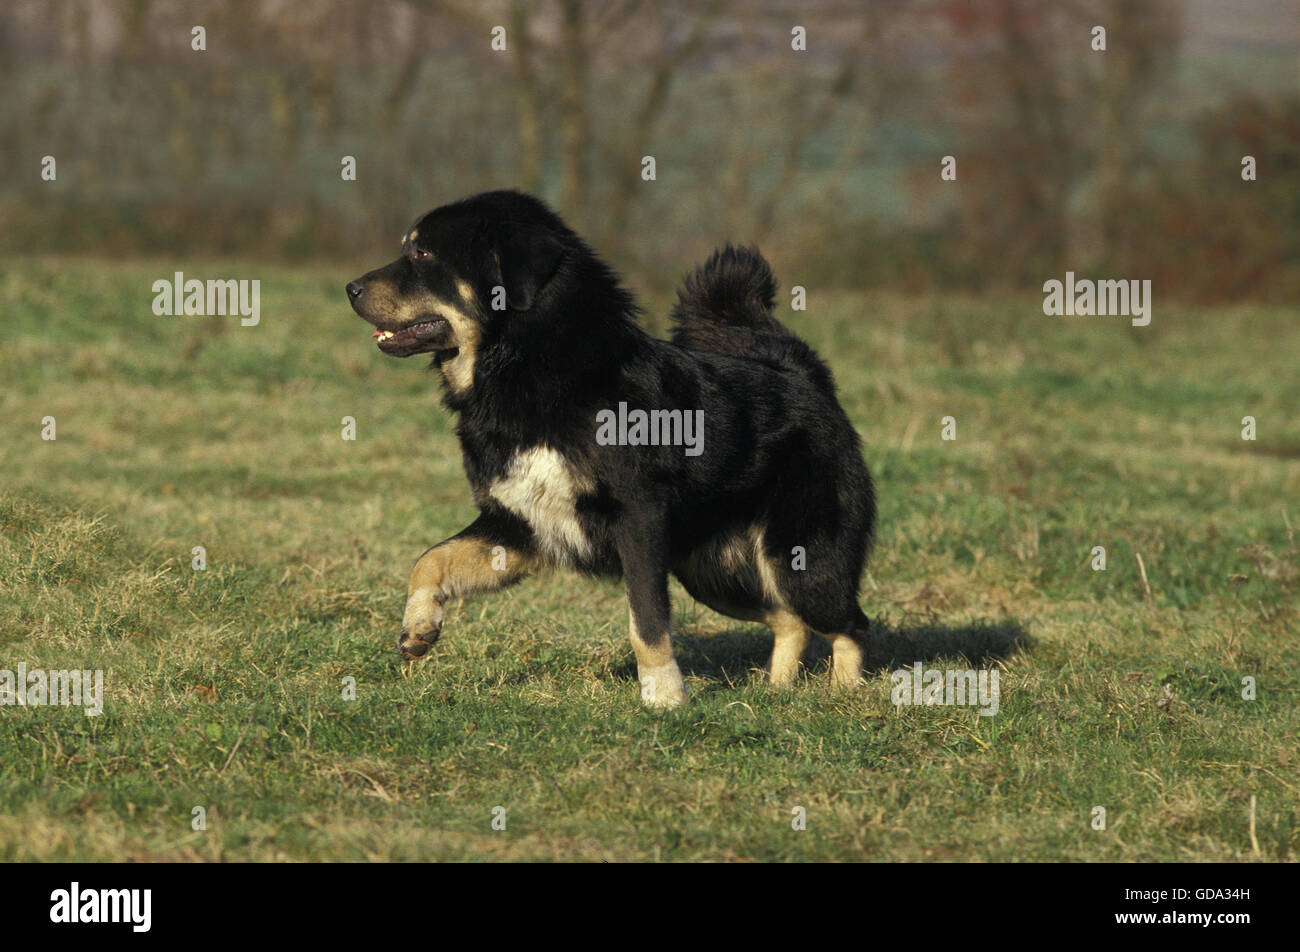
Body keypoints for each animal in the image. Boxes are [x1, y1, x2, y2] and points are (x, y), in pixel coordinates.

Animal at [345, 189, 873, 707]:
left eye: (423, 254)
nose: (350, 288)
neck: (535, 371)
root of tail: (802, 374)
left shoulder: (636, 520)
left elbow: (647, 622)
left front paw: (664, 697)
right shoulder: (519, 525)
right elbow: (430, 560)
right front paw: (418, 627)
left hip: (801, 562)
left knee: (849, 623)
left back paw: (845, 695)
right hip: (711, 574)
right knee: (791, 621)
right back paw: (776, 692)